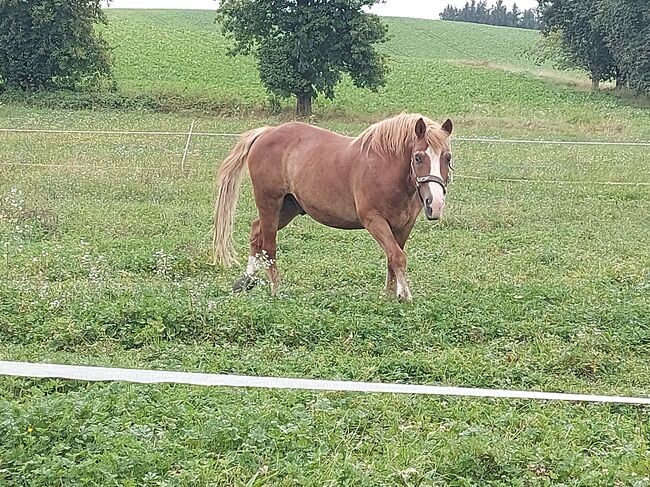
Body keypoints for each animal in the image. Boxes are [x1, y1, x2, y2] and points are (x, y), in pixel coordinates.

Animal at [213, 113, 450, 302]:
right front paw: (405, 296)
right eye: (418, 157)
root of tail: (266, 132)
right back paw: (276, 290)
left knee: (256, 233)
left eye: (447, 157)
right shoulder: (374, 221)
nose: (435, 204)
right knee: (269, 245)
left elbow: (393, 258)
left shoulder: (403, 226)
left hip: (287, 208)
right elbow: (398, 257)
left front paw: (391, 295)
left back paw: (247, 280)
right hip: (269, 202)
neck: (385, 168)